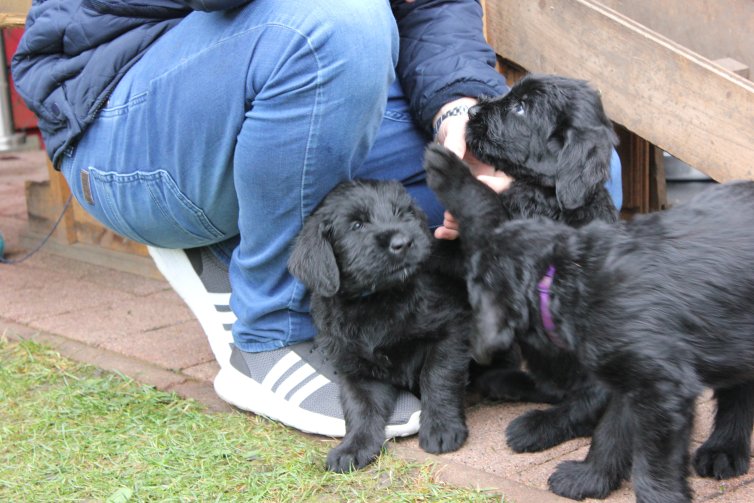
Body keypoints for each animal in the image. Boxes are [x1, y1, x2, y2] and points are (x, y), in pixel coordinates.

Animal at [288, 180, 470, 472]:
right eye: (357, 225)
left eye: (403, 213)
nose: (402, 242)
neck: (378, 300)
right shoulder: (356, 365)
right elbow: (361, 406)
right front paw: (354, 447)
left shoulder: (451, 330)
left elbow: (438, 376)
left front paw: (442, 427)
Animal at [424, 145, 752, 503]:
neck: (567, 278)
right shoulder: (629, 376)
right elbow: (612, 429)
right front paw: (590, 478)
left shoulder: (660, 386)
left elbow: (652, 462)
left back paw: (723, 450)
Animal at [464, 72, 616, 452]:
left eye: (521, 108)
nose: (471, 111)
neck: (548, 192)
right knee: (553, 386)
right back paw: (504, 381)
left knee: (585, 401)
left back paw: (535, 427)